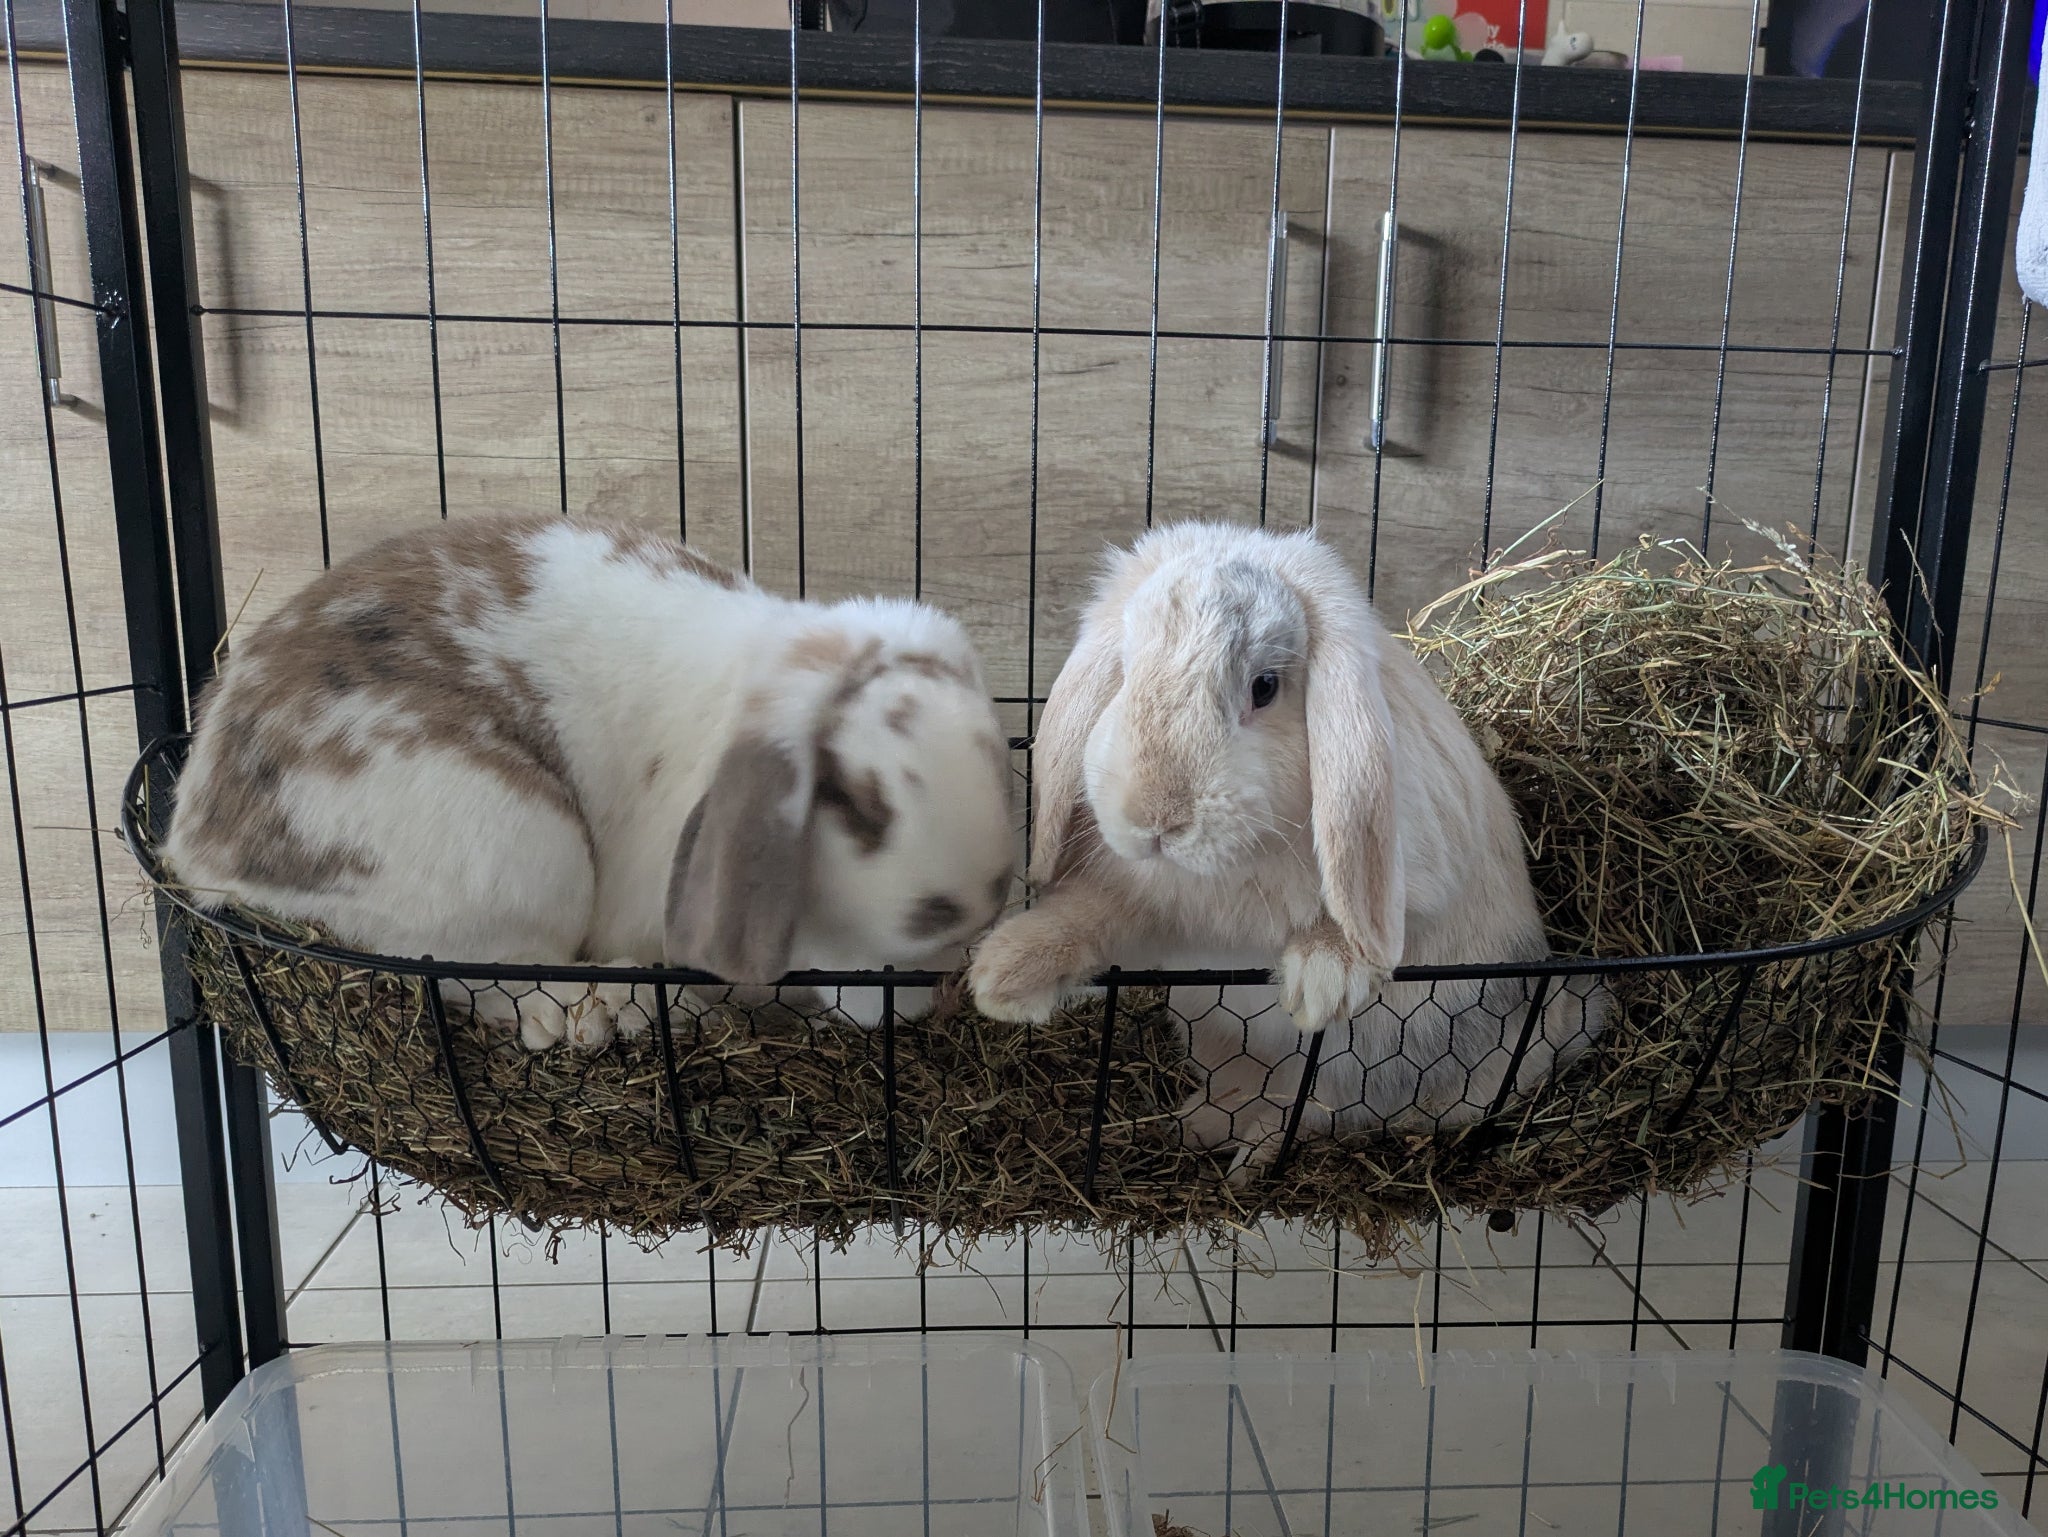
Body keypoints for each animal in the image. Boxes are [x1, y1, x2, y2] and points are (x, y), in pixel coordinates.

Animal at [164, 514, 1019, 1050]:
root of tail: (199, 844)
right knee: (482, 974)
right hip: (519, 850)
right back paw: (594, 1012)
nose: (933, 992)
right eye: (856, 805)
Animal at [968, 521, 1606, 1162]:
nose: (1155, 820)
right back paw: (1192, 1126)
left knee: (1329, 1113)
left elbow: (1359, 924)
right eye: (1124, 672)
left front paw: (1322, 982)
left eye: (1265, 687)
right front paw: (1001, 976)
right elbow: (1090, 919)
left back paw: (1256, 1152)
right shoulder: (1154, 914)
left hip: (1388, 1062)